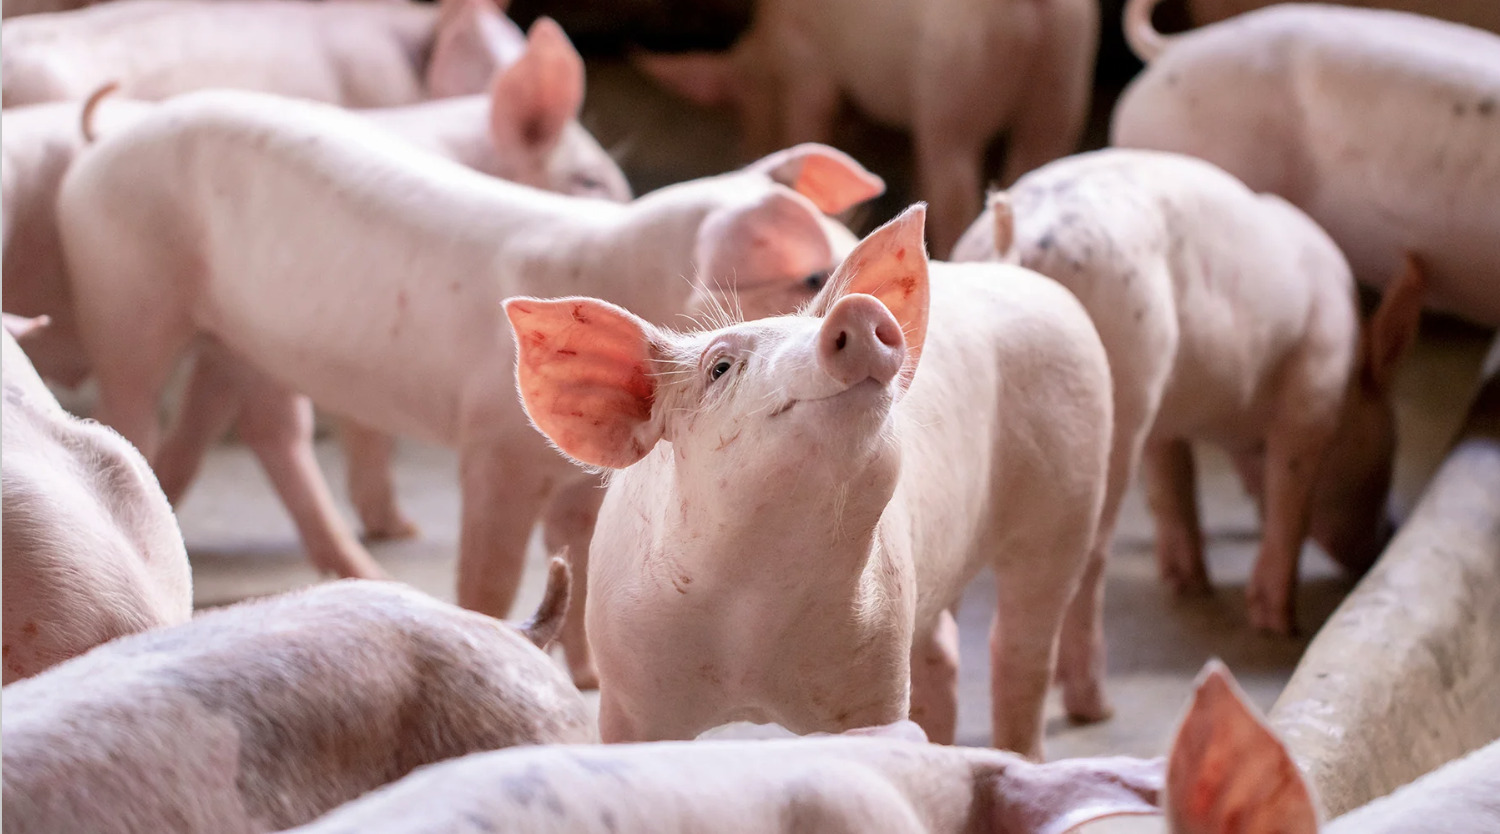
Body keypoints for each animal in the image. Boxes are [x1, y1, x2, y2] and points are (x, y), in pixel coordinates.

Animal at [56, 87, 883, 687]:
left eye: (845, 250)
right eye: (808, 274)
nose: (875, 318)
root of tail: (104, 142)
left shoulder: (583, 476)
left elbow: (584, 558)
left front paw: (589, 679)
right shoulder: (494, 446)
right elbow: (492, 568)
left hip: (245, 340)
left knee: (268, 431)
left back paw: (367, 566)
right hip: (123, 285)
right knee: (136, 405)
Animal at [506, 205, 1113, 759]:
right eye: (719, 368)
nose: (858, 309)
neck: (751, 615)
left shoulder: (877, 667)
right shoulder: (628, 694)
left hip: (1071, 494)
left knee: (1022, 648)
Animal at [634, 0, 1099, 256]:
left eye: (741, 99)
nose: (751, 146)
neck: (767, 51)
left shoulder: (806, 67)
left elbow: (812, 122)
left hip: (955, 72)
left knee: (953, 181)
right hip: (1068, 64)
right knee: (1038, 150)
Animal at [949, 151, 1422, 689]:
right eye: (1388, 451)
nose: (1388, 532)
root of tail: (1012, 237)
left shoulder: (1167, 419)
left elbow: (1173, 483)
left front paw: (1189, 583)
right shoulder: (1314, 386)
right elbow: (1290, 497)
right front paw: (1280, 624)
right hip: (1121, 391)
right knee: (1090, 558)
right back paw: (1085, 685)